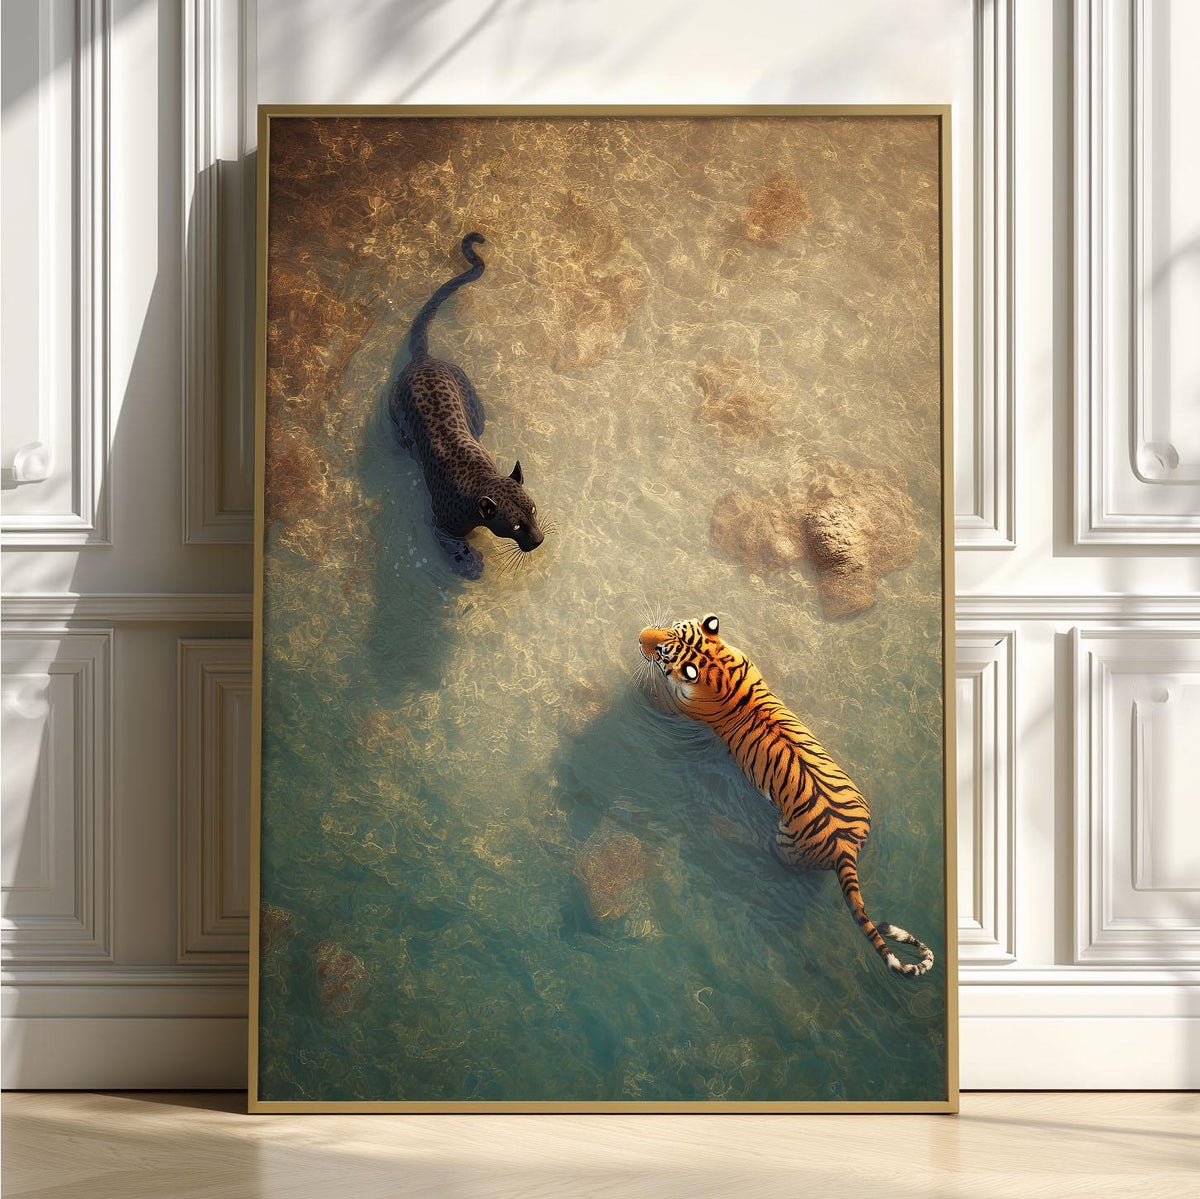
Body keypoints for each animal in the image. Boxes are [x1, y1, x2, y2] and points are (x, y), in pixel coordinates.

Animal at [637, 613, 934, 978]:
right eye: (670, 628)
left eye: (662, 651)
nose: (639, 636)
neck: (717, 664)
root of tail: (845, 847)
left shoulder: (679, 706)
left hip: (786, 846)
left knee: (767, 852)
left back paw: (724, 827)